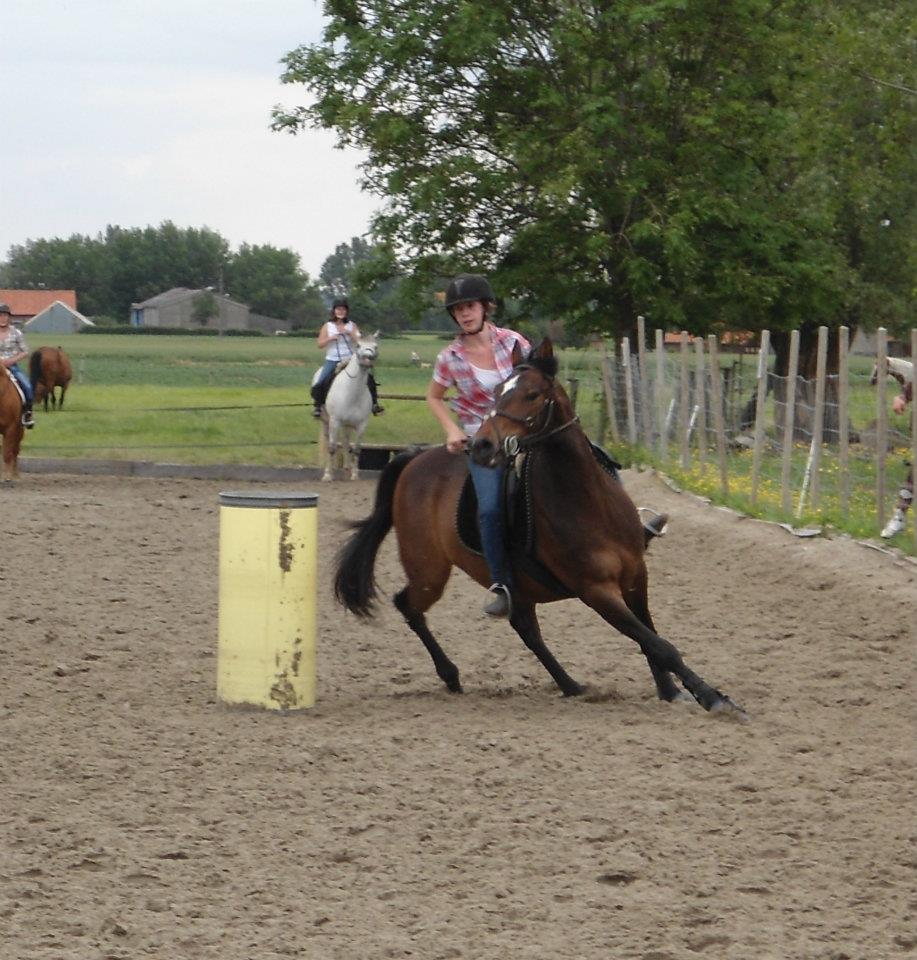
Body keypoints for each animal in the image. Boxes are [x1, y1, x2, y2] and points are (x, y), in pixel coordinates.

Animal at [314, 332, 380, 484]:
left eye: (375, 346)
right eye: (358, 345)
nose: (368, 359)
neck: (352, 393)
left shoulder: (362, 424)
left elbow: (356, 449)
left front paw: (355, 475)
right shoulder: (334, 421)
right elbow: (332, 447)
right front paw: (328, 475)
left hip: (347, 425)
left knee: (345, 443)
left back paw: (347, 469)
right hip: (326, 422)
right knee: (330, 442)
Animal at [336, 340, 744, 720]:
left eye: (531, 394)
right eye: (498, 392)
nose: (482, 446)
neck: (586, 499)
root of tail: (415, 458)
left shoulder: (635, 577)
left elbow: (650, 637)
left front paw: (670, 691)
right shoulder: (596, 590)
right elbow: (658, 644)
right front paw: (714, 698)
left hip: (514, 585)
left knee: (525, 627)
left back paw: (570, 685)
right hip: (429, 572)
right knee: (408, 605)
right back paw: (451, 675)